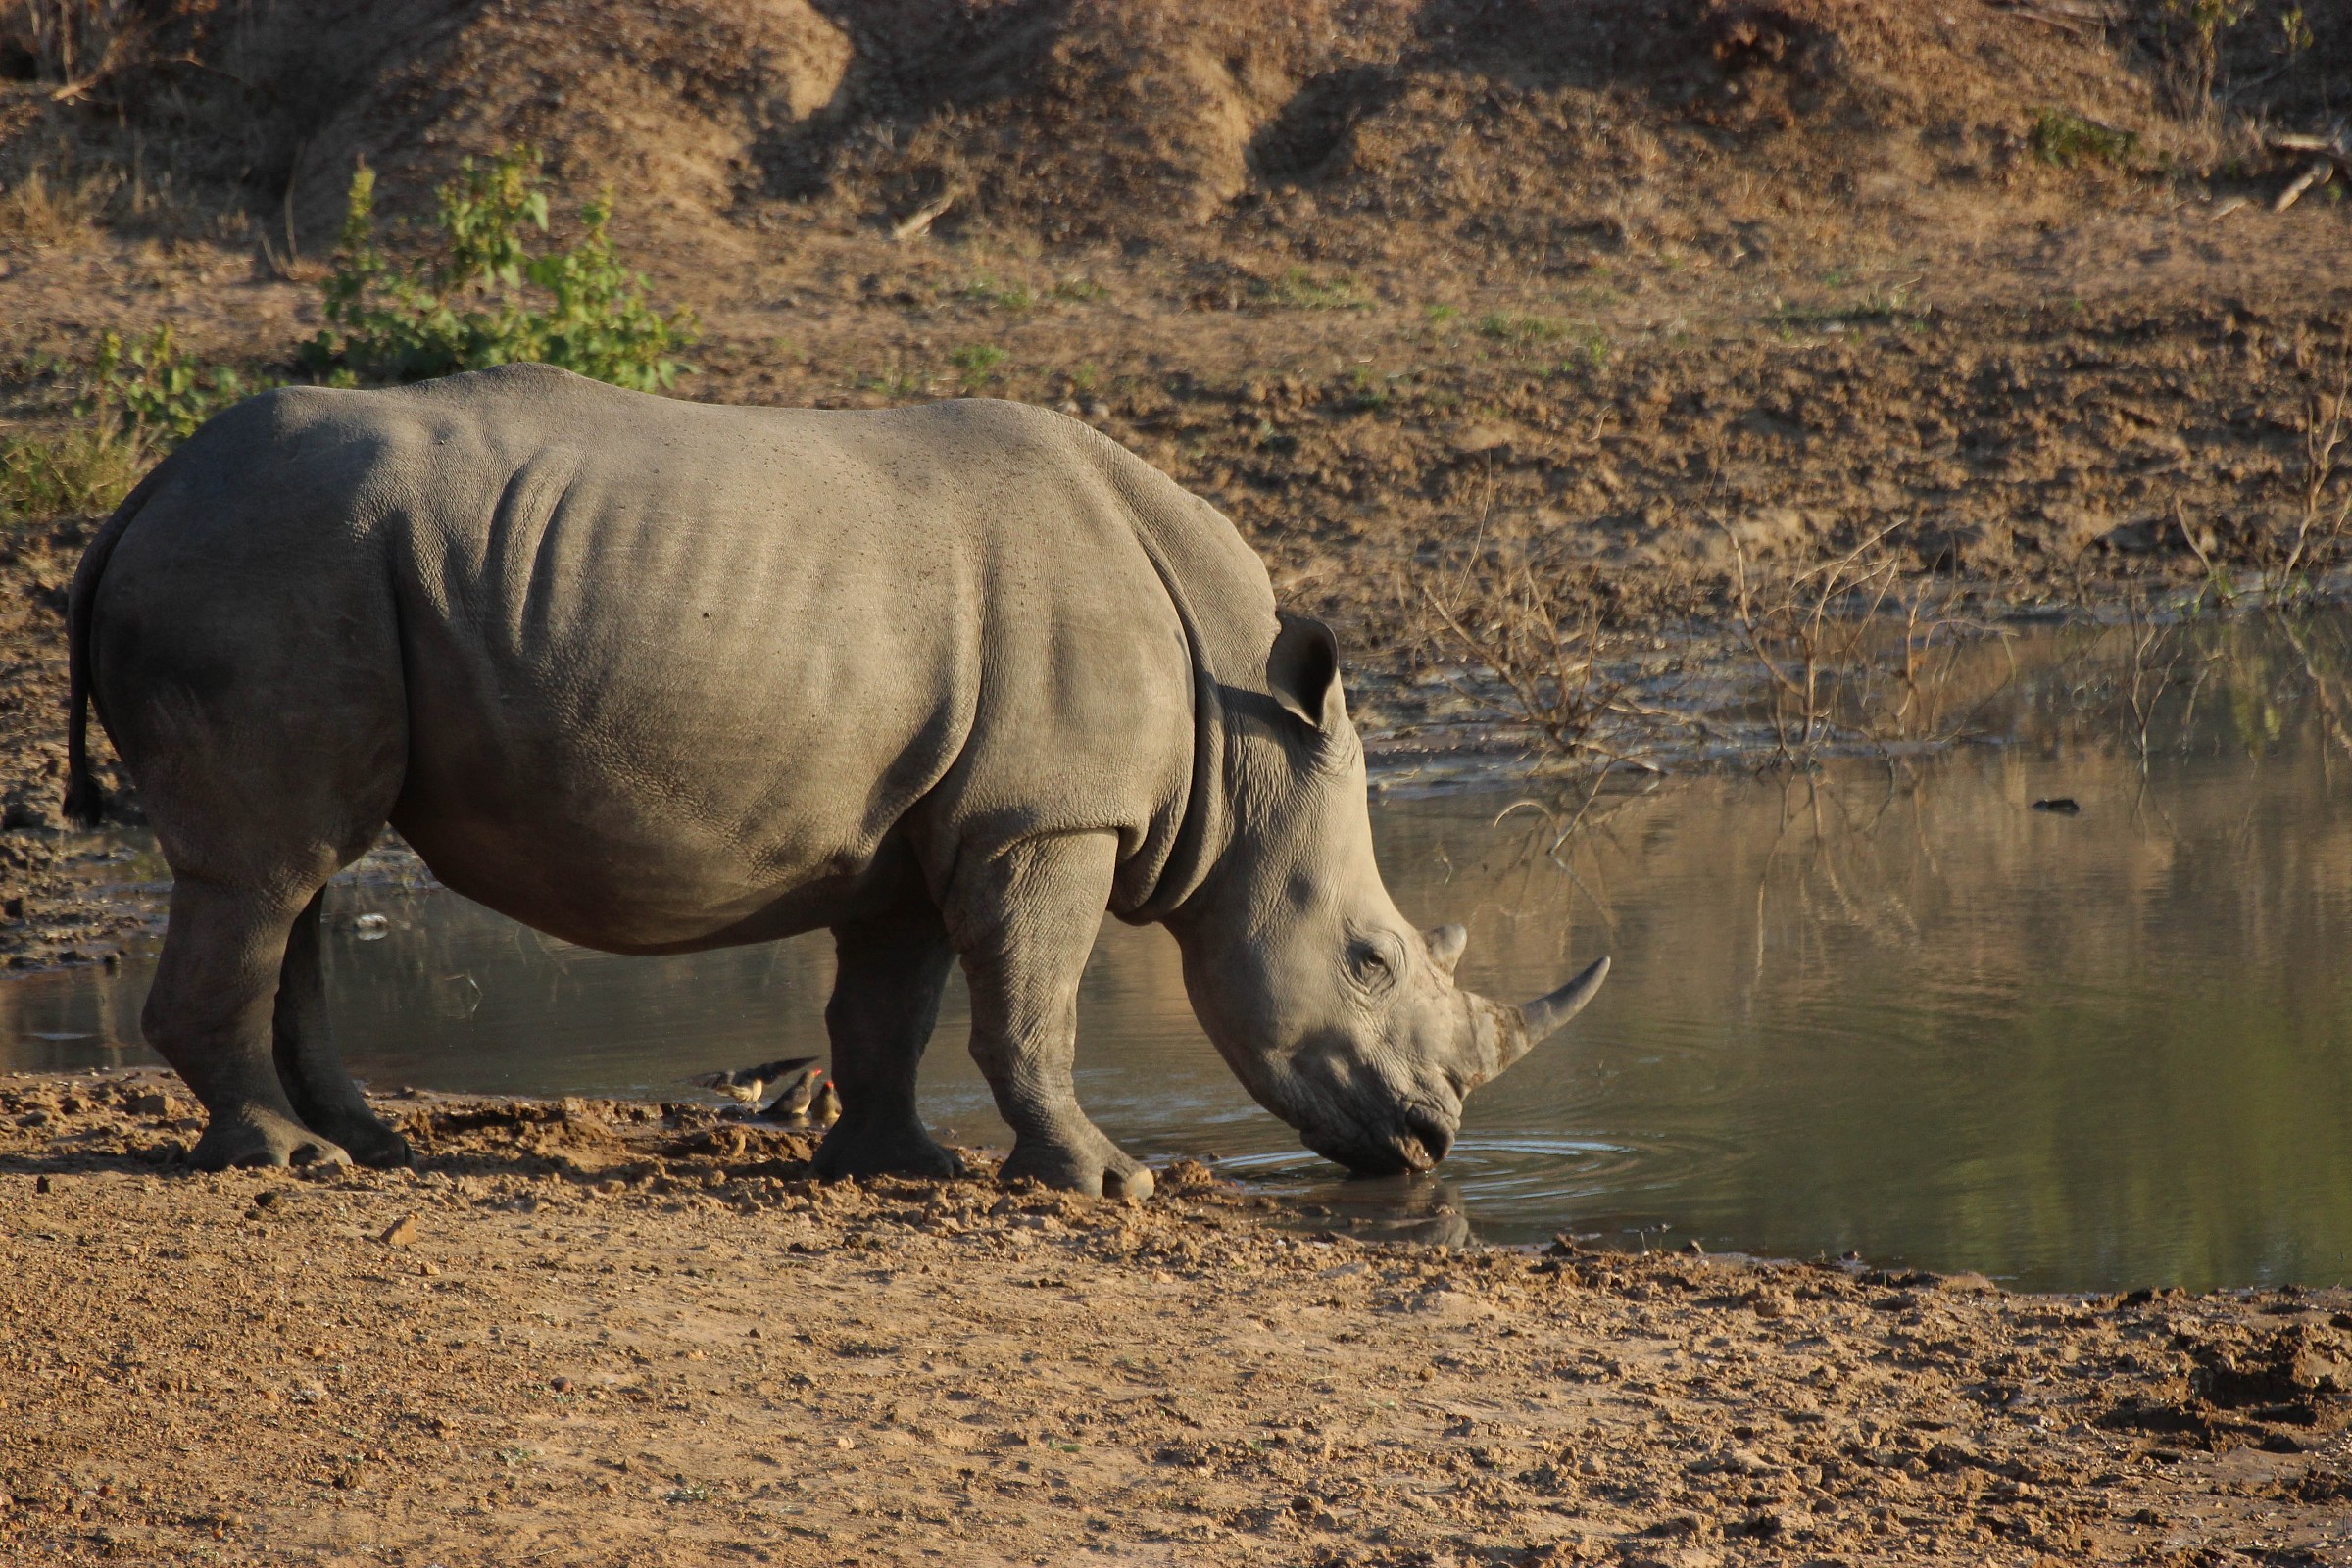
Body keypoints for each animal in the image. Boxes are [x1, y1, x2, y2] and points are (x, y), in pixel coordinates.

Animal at [65, 364, 1607, 1194]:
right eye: (1369, 961)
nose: (1432, 1139)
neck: (1242, 737)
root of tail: (138, 495)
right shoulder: (1048, 819)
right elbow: (1032, 1008)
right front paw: (1104, 1183)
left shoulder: (929, 820)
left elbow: (888, 1004)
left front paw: (897, 1166)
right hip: (265, 563)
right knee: (270, 865)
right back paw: (288, 1162)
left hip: (302, 562)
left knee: (299, 871)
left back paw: (371, 1148)